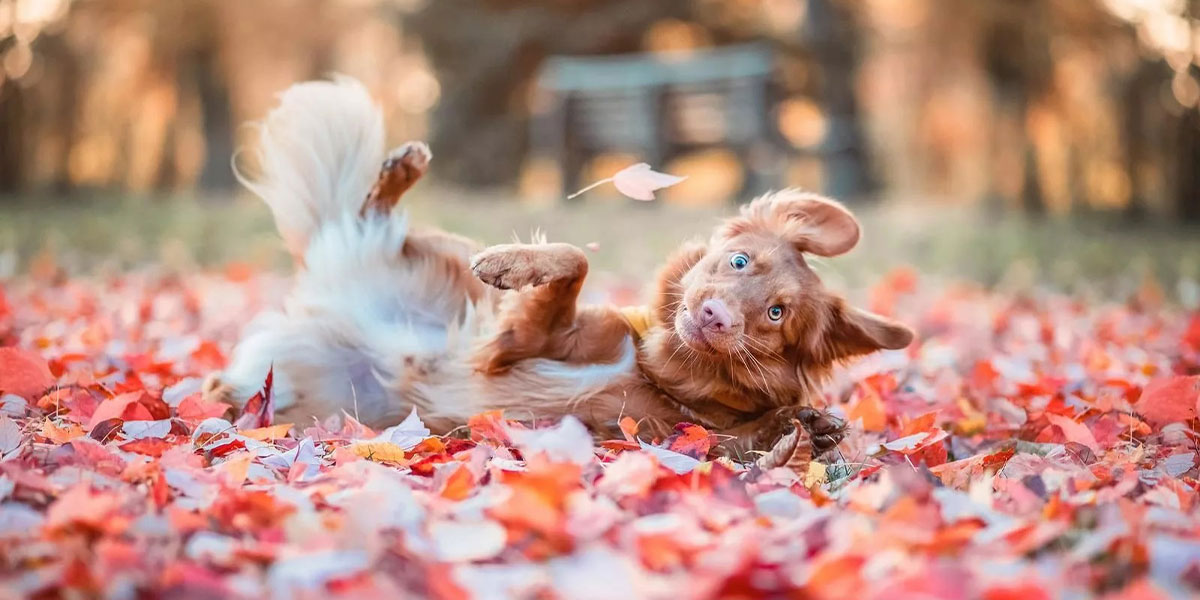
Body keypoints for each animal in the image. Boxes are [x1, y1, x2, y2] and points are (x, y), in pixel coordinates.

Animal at [206, 78, 912, 463]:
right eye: (739, 261)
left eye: (775, 314)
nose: (714, 316)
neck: (659, 371)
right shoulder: (526, 339)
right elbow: (575, 258)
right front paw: (511, 265)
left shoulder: (662, 437)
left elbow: (748, 440)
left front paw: (807, 434)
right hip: (439, 254)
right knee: (371, 215)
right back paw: (401, 169)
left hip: (312, 402)